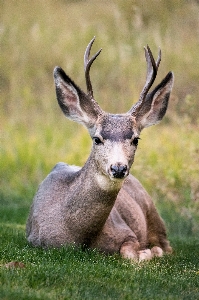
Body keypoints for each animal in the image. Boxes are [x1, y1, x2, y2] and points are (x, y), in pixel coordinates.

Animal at [25, 37, 173, 262]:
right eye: (97, 139)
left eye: (136, 139)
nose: (118, 168)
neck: (78, 236)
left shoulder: (127, 232)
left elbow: (131, 253)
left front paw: (147, 252)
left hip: (153, 212)